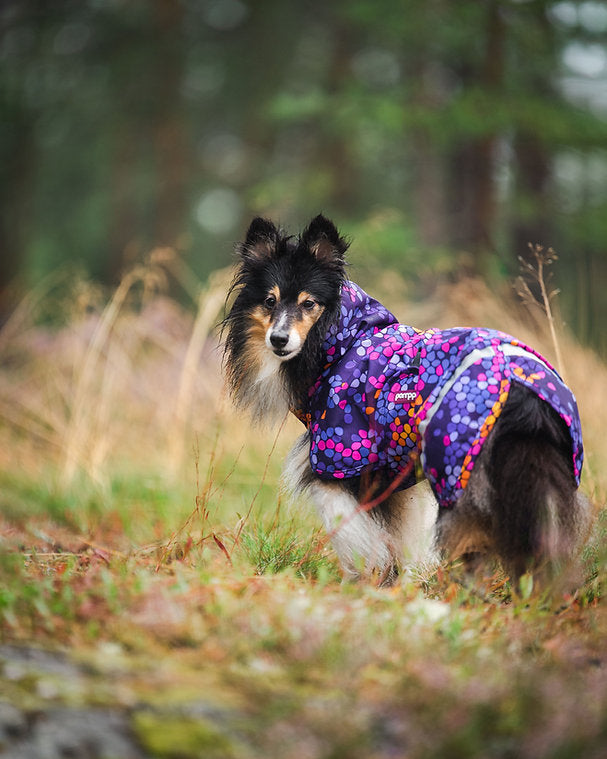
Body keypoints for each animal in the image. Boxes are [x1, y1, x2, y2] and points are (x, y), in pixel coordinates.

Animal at [223, 214, 588, 588]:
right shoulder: (396, 470)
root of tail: (524, 390)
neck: (338, 342)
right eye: (270, 301)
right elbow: (402, 532)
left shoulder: (341, 462)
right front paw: (401, 582)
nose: (278, 339)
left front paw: (365, 582)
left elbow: (359, 537)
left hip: (458, 470)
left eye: (308, 303)